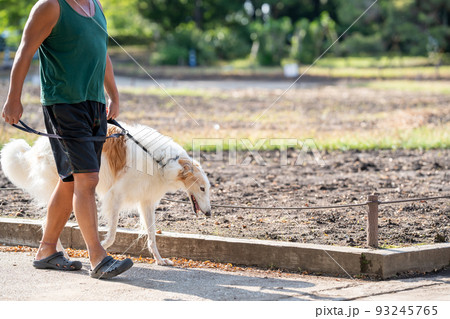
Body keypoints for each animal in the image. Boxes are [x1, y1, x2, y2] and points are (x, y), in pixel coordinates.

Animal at [0, 121, 212, 266]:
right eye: (202, 188)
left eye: (208, 189)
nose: (209, 213)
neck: (163, 161)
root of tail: (36, 146)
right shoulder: (114, 196)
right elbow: (112, 234)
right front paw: (100, 250)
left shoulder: (146, 201)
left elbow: (151, 235)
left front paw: (160, 260)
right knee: (47, 222)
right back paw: (62, 255)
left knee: (47, 222)